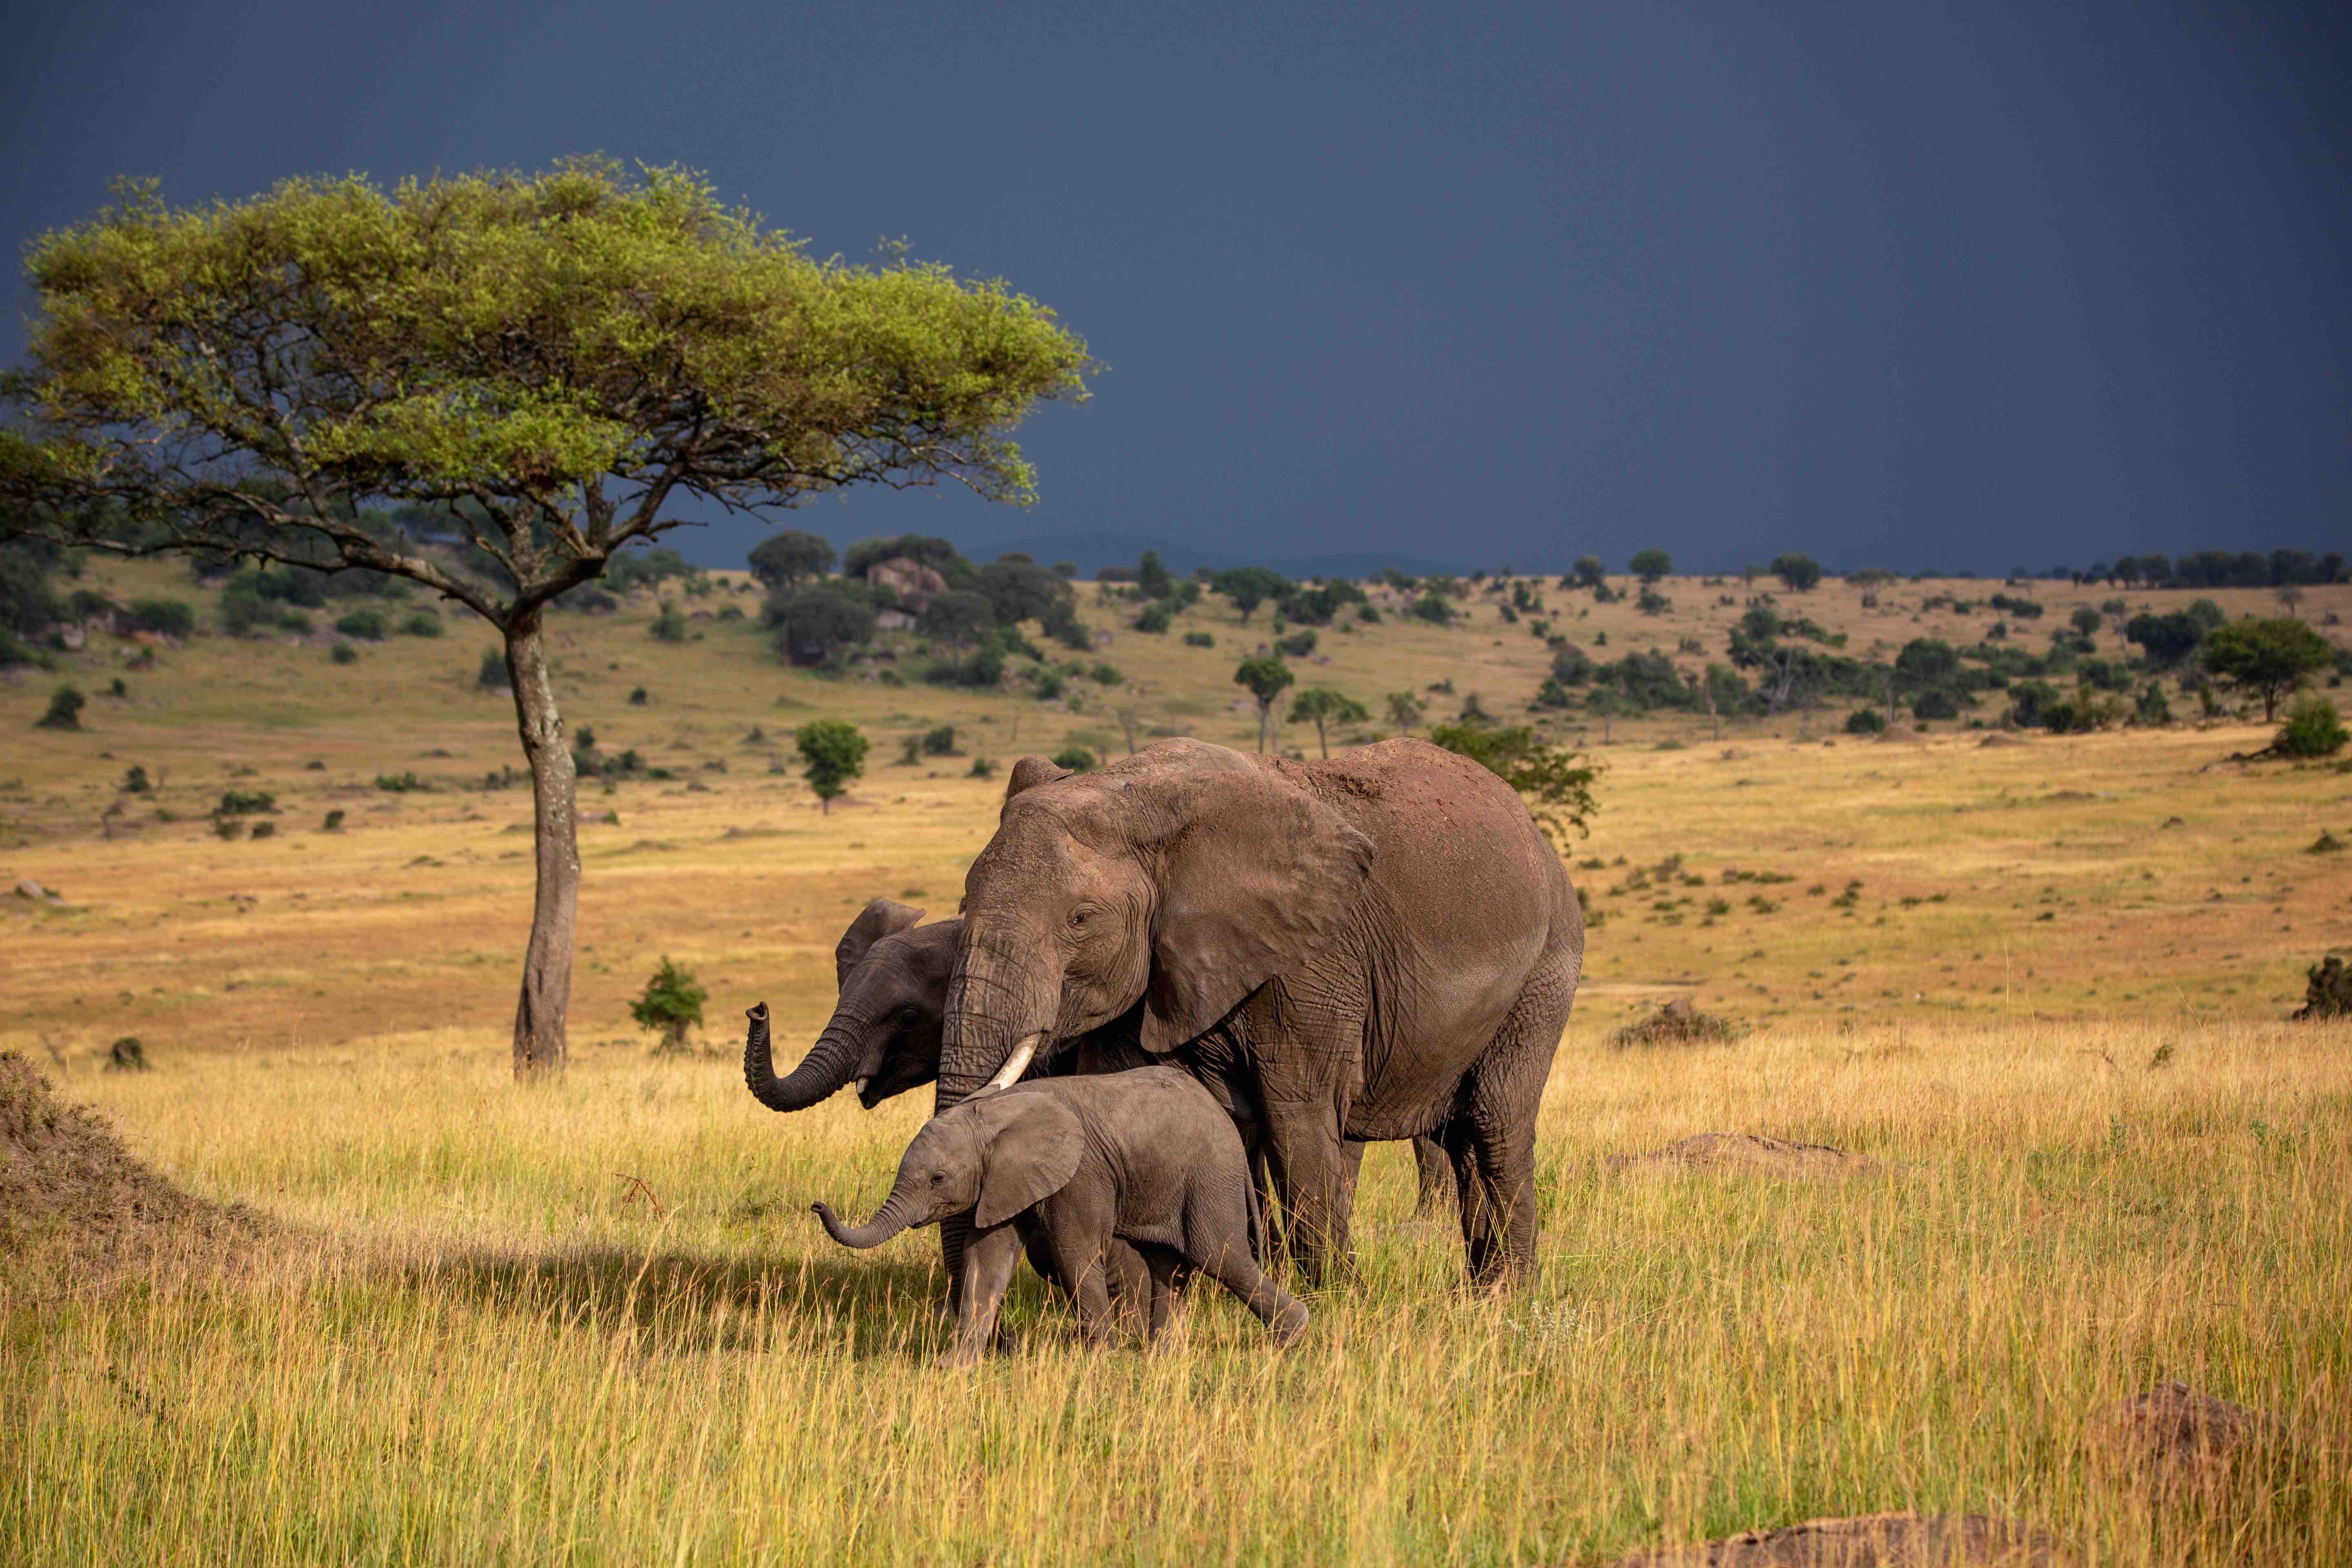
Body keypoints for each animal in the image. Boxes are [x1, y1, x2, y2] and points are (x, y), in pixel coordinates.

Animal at [813, 1067, 1308, 1365]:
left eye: (938, 1179)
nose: (817, 1206)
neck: (993, 1114)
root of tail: (1229, 1128)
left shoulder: (1080, 1174)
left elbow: (1075, 1252)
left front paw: (1097, 1357)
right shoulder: (1004, 1181)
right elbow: (987, 1260)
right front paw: (954, 1367)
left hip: (1209, 1176)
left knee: (1218, 1255)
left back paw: (1291, 1337)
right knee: (1168, 1266)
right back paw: (1162, 1356)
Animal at [936, 737, 1583, 1291]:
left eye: (1080, 919)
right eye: (964, 901)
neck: (1134, 792)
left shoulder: (1312, 963)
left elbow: (1297, 1116)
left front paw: (1334, 1301)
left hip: (1546, 970)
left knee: (1494, 1122)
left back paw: (1504, 1297)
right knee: (1458, 1135)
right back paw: (1478, 1292)